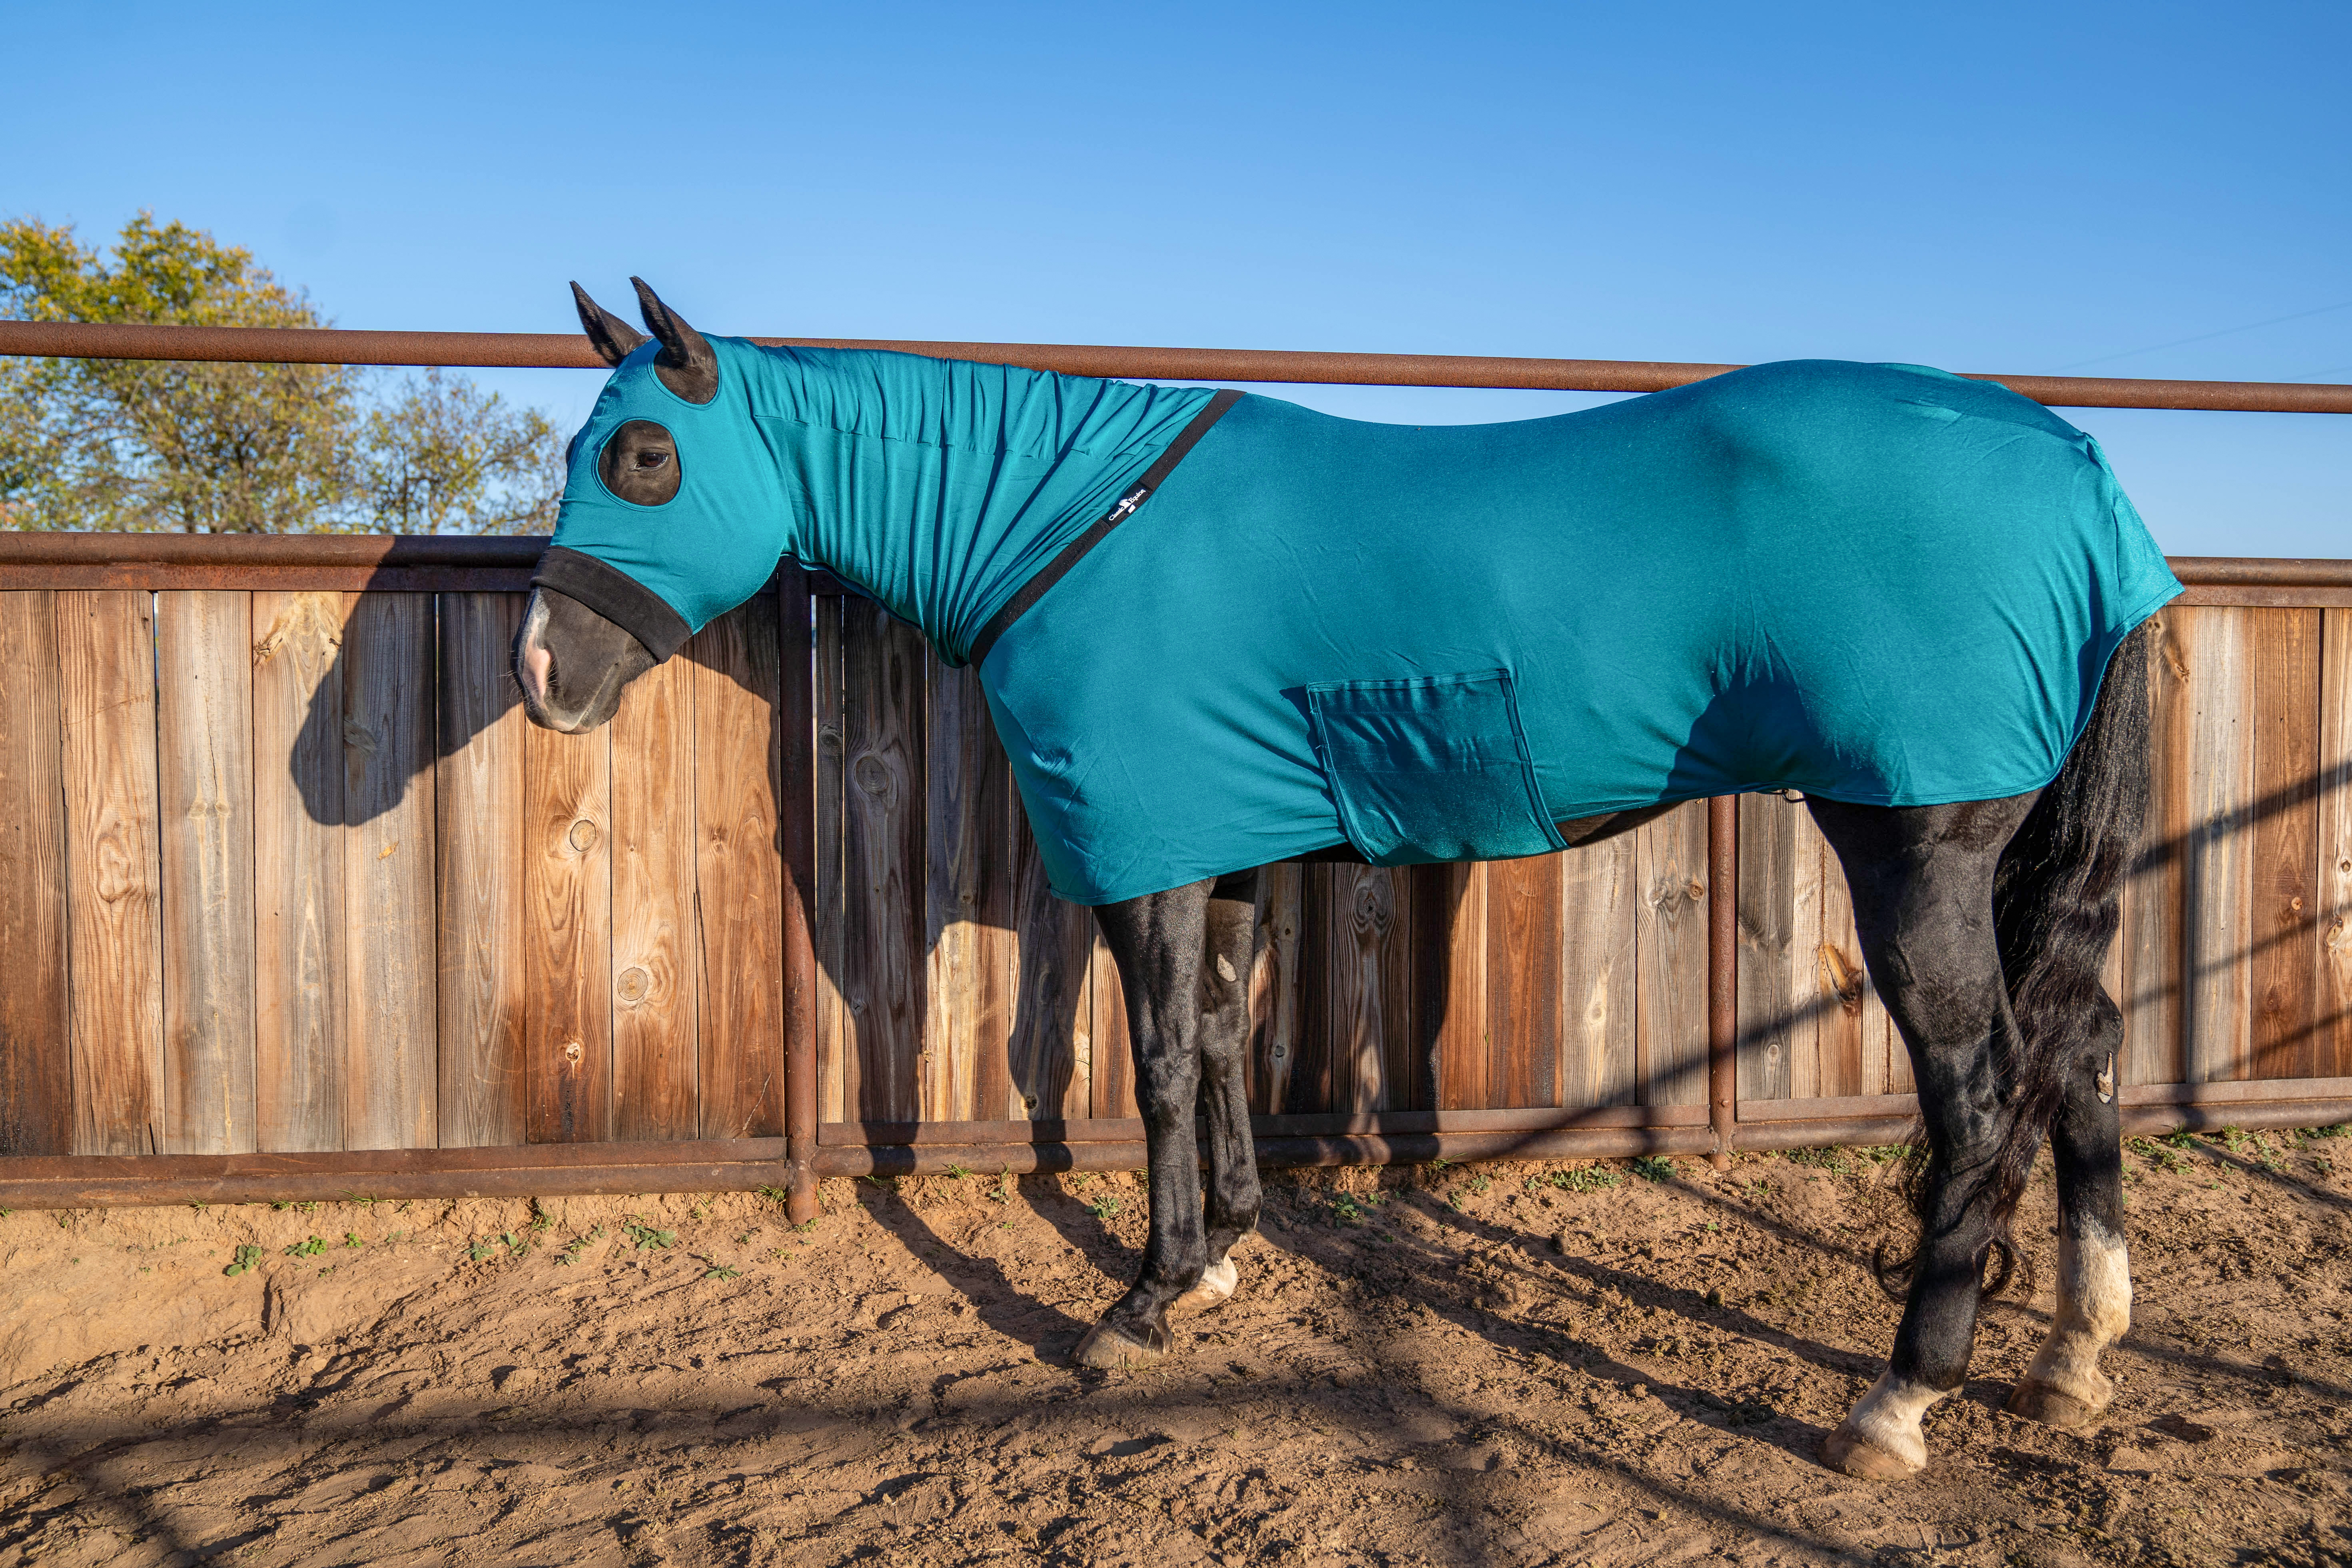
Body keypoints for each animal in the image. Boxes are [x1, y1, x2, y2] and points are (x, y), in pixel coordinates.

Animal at [514, 278, 2178, 1481]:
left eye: (644, 457)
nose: (540, 675)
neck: (1078, 526)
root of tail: (2080, 473)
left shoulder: (1142, 858)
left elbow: (1154, 1063)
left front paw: (1139, 1301)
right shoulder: (1226, 851)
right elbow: (1225, 1042)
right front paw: (1221, 1258)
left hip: (1911, 844)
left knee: (1983, 1088)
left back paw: (1899, 1399)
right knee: (2086, 1048)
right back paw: (2074, 1354)